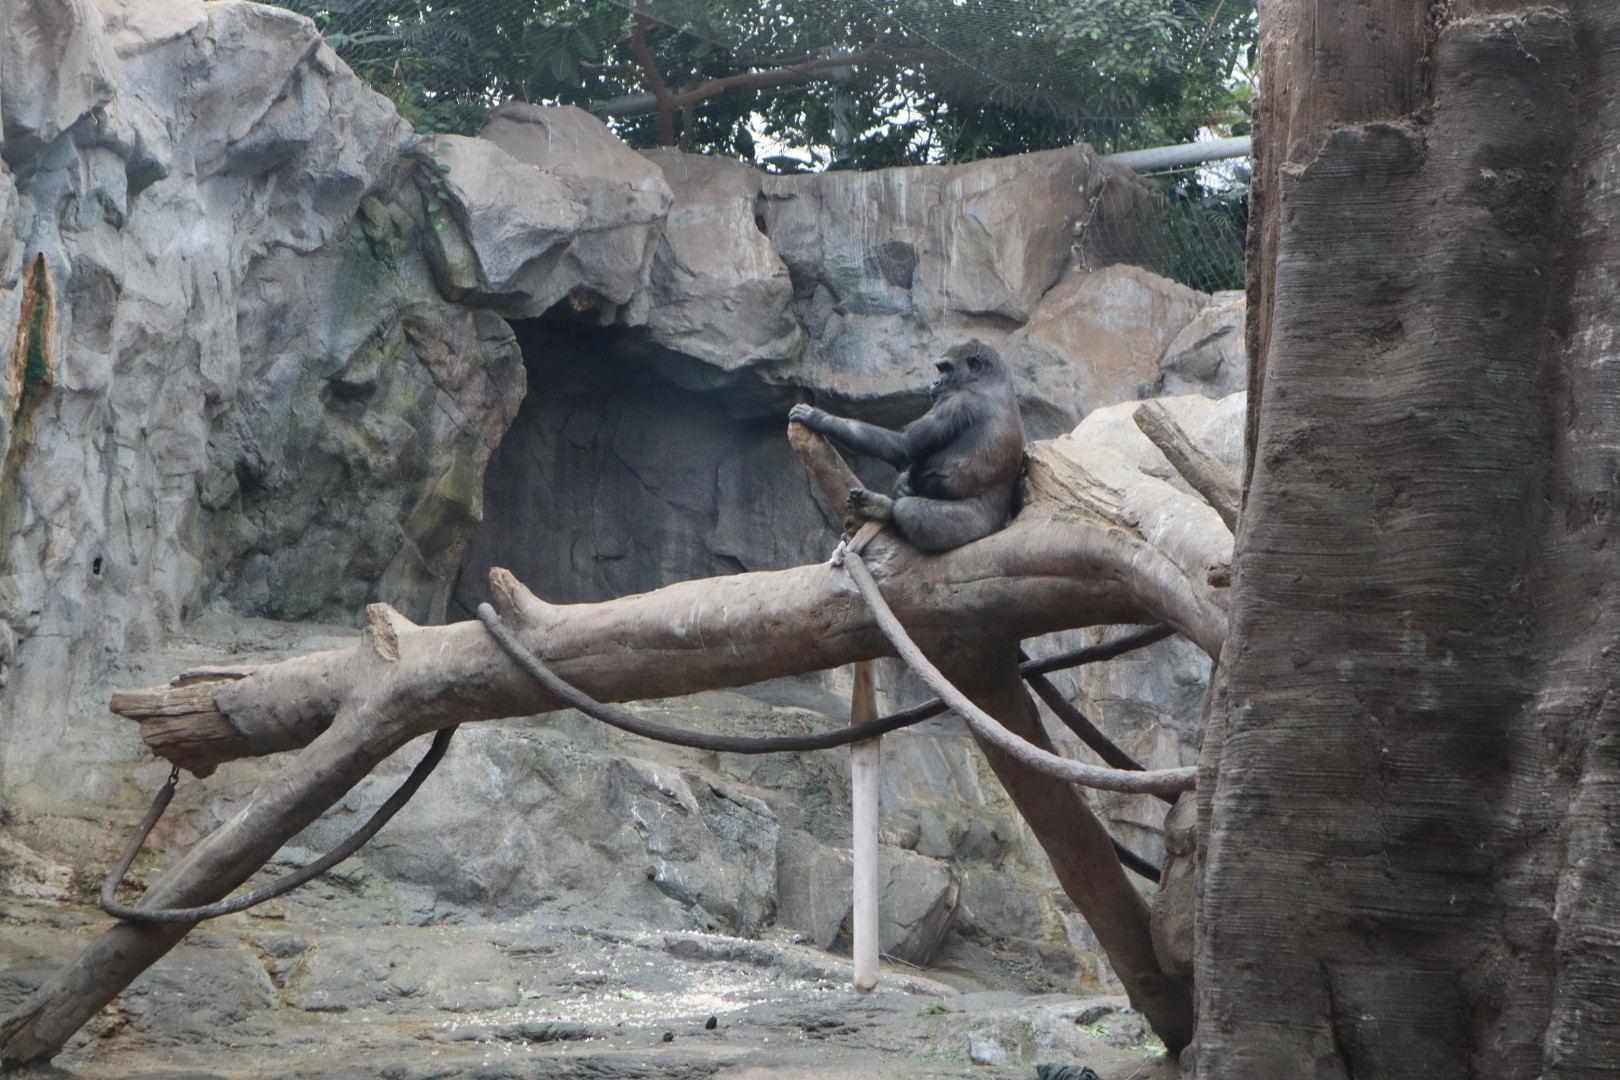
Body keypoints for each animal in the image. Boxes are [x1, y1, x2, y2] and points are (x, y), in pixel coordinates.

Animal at [788, 339, 1025, 553]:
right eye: (940, 368)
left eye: (947, 368)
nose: (935, 382)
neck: (988, 379)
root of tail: (999, 526)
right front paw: (902, 484)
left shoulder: (956, 402)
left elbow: (902, 445)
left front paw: (820, 419)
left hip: (972, 525)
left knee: (909, 511)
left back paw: (884, 507)